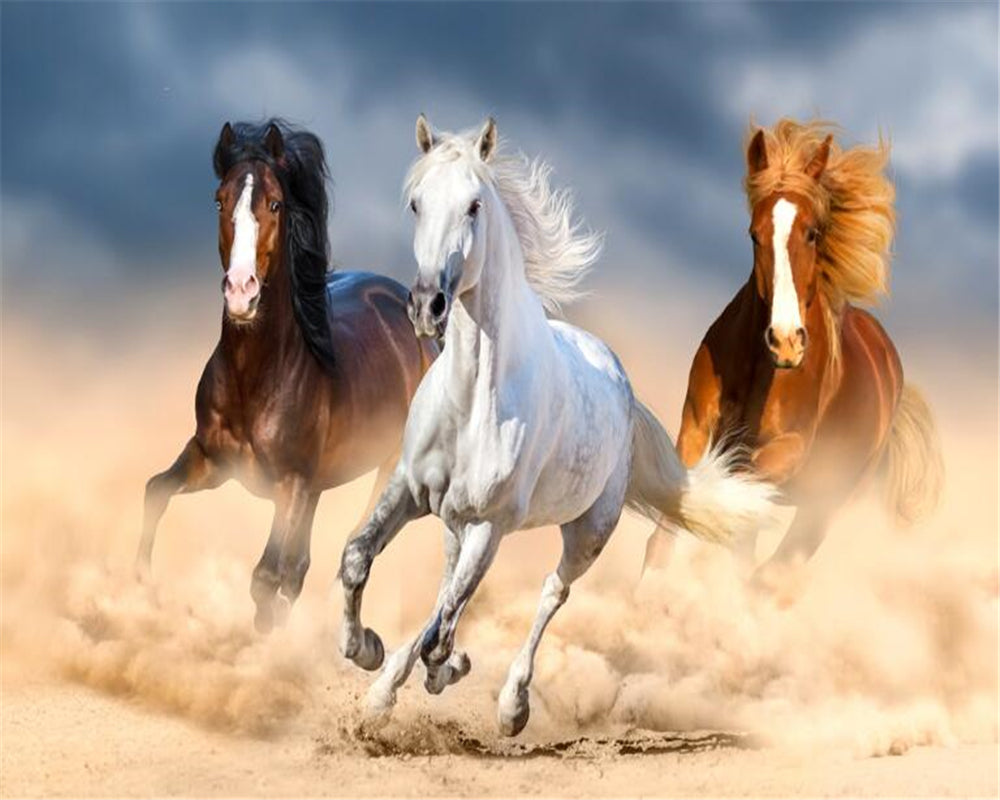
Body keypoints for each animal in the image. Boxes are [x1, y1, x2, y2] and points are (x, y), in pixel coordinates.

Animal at [137, 119, 437, 633]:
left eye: (275, 203)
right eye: (219, 200)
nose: (241, 292)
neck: (256, 377)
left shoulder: (290, 485)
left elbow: (265, 576)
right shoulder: (211, 460)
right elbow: (156, 491)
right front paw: (138, 589)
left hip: (384, 469)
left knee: (348, 547)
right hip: (316, 487)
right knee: (301, 566)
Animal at [337, 115, 777, 736]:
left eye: (474, 205)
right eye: (416, 203)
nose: (427, 306)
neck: (472, 401)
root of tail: (620, 381)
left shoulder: (491, 524)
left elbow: (442, 628)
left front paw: (441, 669)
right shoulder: (409, 488)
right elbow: (359, 561)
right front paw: (366, 650)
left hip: (586, 531)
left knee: (549, 592)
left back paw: (510, 706)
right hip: (456, 521)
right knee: (450, 589)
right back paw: (393, 685)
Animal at [643, 119, 943, 583]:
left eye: (812, 232)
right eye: (754, 234)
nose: (785, 341)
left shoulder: (789, 451)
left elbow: (735, 484)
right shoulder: (693, 427)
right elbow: (668, 528)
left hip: (826, 505)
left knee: (774, 568)